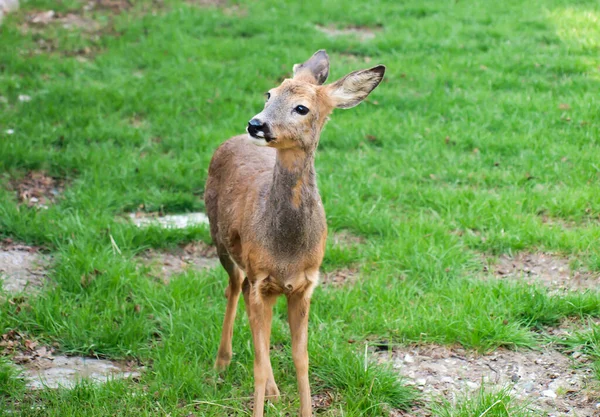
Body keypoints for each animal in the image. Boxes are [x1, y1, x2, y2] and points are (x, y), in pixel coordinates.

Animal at [205, 50, 384, 414]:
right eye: (269, 94)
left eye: (302, 108)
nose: (256, 124)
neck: (286, 249)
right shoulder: (262, 278)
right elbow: (259, 365)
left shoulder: (304, 285)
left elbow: (302, 360)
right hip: (221, 241)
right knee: (233, 287)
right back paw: (222, 361)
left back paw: (273, 390)